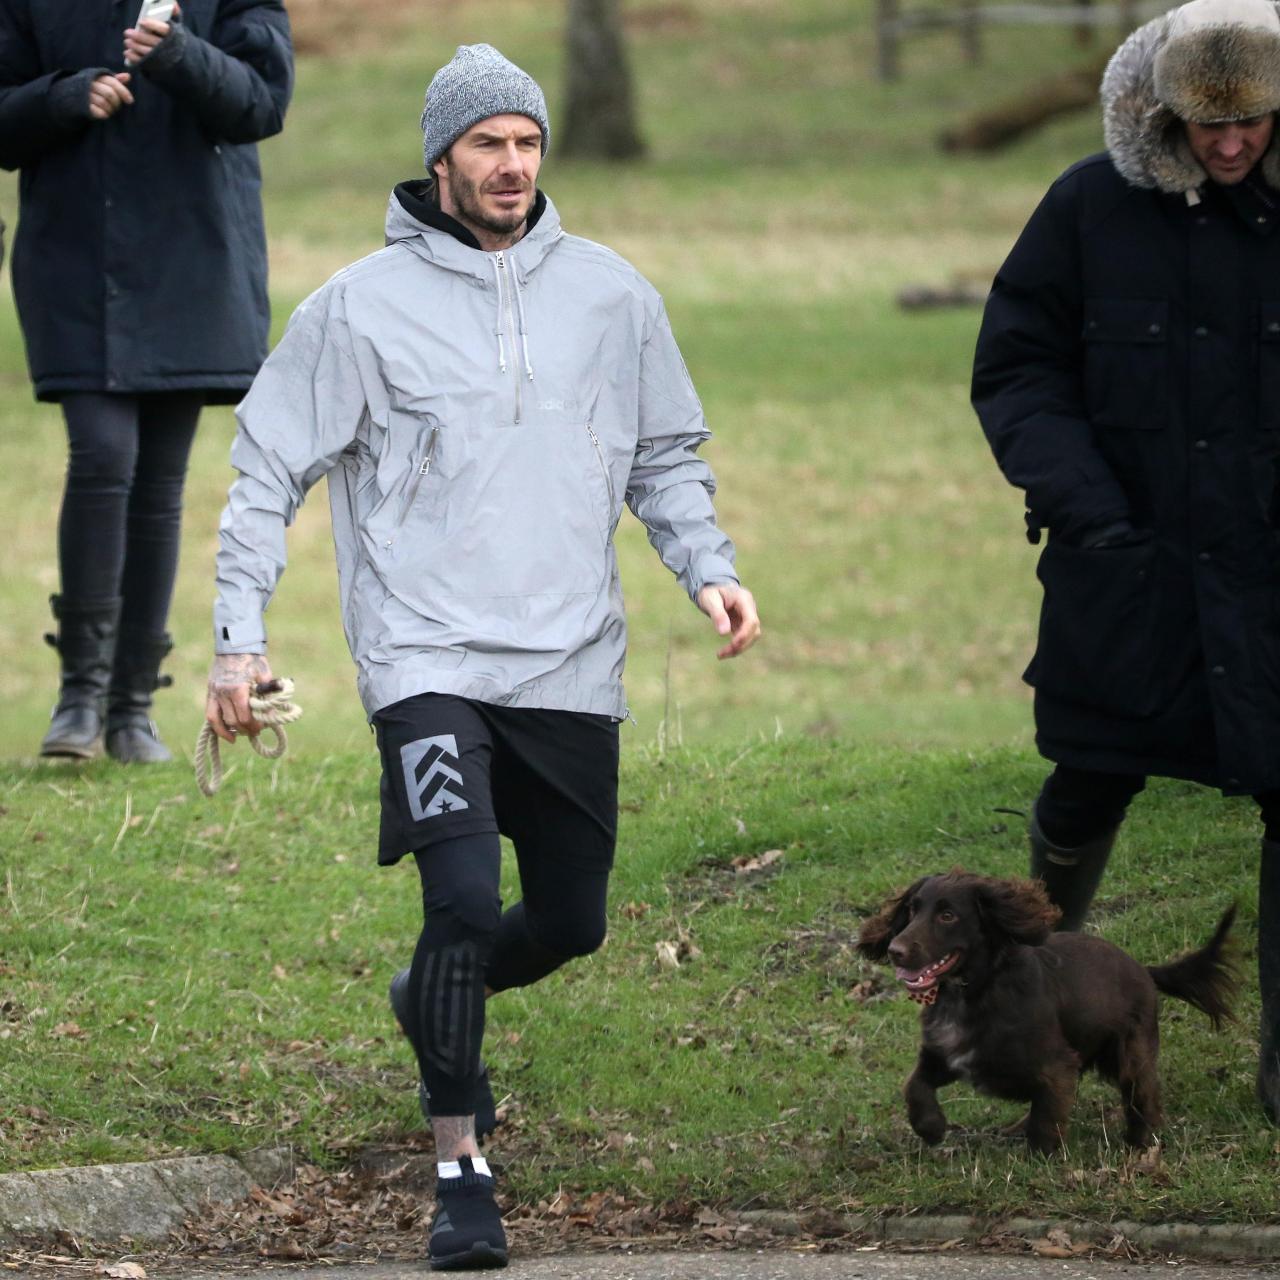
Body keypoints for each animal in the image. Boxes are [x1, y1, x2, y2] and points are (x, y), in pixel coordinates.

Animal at [855, 875, 1233, 1157]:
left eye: (947, 916)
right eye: (912, 910)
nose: (895, 951)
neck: (974, 991)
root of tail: (1143, 968)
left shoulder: (1056, 1064)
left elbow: (1048, 1114)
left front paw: (1042, 1157)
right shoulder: (944, 1055)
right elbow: (913, 1085)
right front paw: (931, 1128)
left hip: (1131, 1048)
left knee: (1142, 1092)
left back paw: (1141, 1142)